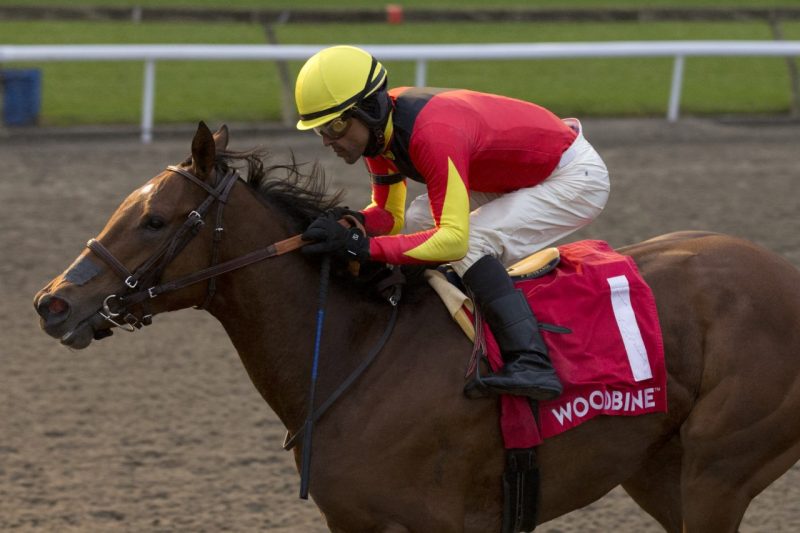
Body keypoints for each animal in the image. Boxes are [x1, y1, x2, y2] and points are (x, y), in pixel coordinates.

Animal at [34, 122, 800, 528]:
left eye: (154, 220)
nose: (52, 302)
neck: (353, 356)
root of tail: (782, 272)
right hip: (657, 469)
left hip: (718, 469)